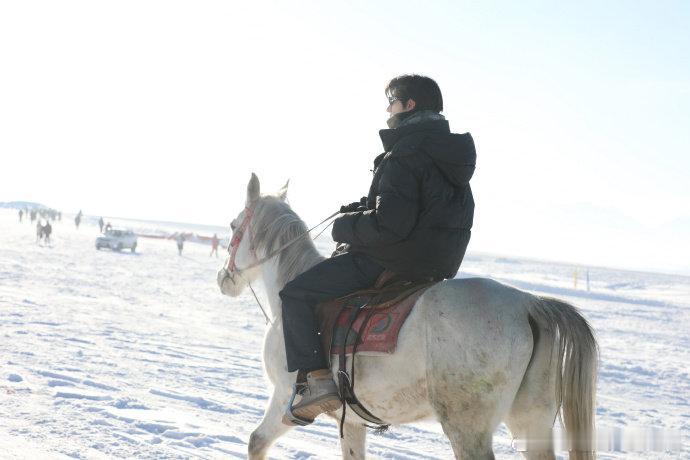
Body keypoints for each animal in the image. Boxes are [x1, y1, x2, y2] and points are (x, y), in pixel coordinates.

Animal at [218, 174, 592, 458]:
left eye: (234, 225)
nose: (224, 278)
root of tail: (529, 304)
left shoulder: (285, 397)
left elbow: (256, 442)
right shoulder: (351, 422)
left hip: (468, 428)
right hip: (532, 420)